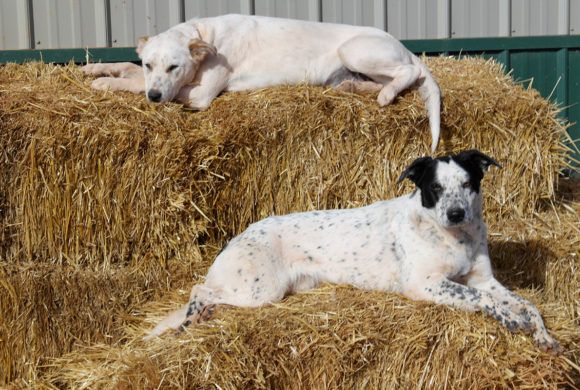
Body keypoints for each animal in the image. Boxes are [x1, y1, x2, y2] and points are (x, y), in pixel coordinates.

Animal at [81, 13, 440, 151]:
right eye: (149, 64)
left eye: (174, 67)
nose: (155, 97)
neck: (205, 36)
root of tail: (404, 46)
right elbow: (127, 68)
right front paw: (95, 69)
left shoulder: (199, 94)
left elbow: (134, 84)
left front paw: (106, 85)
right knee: (370, 82)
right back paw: (360, 88)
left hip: (355, 50)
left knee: (408, 74)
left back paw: (388, 94)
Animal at [147, 149, 560, 354]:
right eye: (435, 189)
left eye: (468, 183)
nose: (456, 213)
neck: (453, 237)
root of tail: (238, 236)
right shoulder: (426, 284)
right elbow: (482, 300)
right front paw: (509, 320)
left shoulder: (485, 279)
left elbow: (529, 305)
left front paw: (543, 335)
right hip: (258, 289)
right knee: (199, 290)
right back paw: (191, 318)